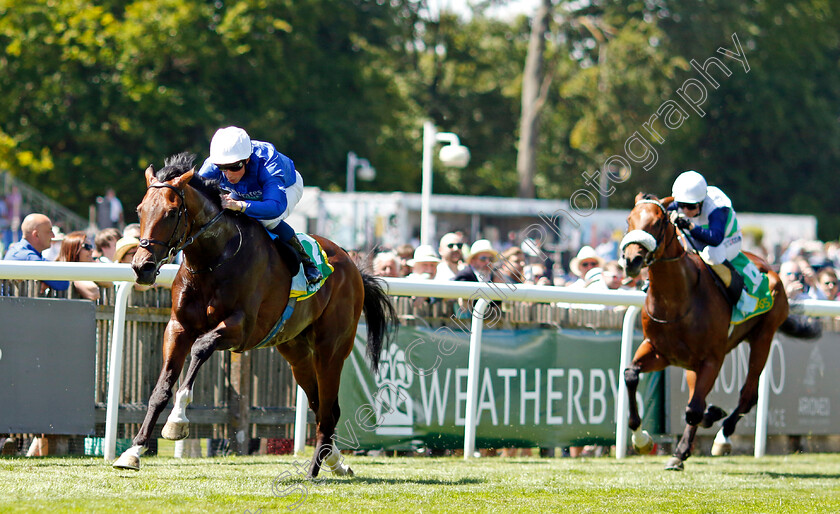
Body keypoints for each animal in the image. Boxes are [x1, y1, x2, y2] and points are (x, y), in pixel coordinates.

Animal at [112, 153, 398, 476]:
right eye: (140, 210)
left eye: (172, 212)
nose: (142, 267)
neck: (214, 259)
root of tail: (353, 266)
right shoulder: (177, 326)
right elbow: (160, 389)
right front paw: (132, 452)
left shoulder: (241, 329)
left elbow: (200, 348)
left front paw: (177, 421)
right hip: (297, 353)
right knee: (320, 405)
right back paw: (335, 461)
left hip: (331, 350)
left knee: (329, 410)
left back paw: (313, 470)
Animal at [620, 191, 796, 468]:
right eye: (629, 220)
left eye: (658, 222)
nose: (631, 260)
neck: (677, 300)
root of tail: (769, 266)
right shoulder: (659, 351)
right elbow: (631, 375)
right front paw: (642, 440)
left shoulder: (713, 358)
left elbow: (693, 409)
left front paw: (680, 452)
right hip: (693, 364)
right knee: (700, 399)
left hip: (763, 337)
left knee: (747, 396)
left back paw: (722, 438)